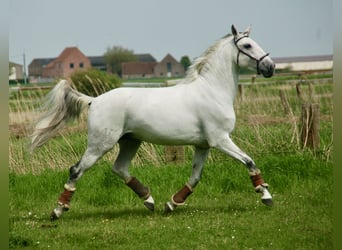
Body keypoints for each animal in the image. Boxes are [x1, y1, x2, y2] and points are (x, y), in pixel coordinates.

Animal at [30, 24, 276, 221]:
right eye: (247, 45)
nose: (271, 67)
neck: (212, 91)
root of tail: (94, 100)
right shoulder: (220, 140)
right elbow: (249, 162)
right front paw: (266, 196)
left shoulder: (203, 145)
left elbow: (195, 177)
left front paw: (171, 204)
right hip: (100, 144)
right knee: (77, 170)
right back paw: (58, 211)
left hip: (130, 141)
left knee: (119, 168)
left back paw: (149, 200)